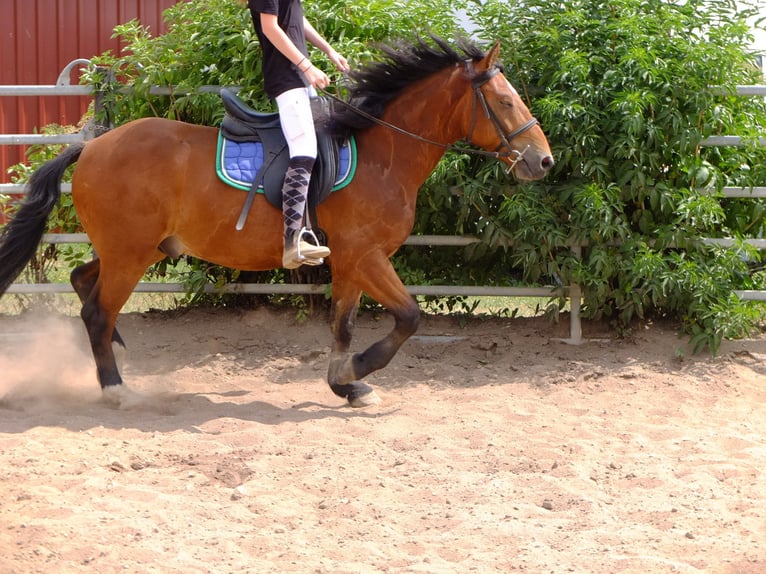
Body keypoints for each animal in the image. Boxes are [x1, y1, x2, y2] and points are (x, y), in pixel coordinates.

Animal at [0, 36, 556, 408]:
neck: (383, 154)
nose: (544, 162)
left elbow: (343, 323)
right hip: (130, 254)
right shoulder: (366, 255)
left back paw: (113, 353)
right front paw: (359, 370)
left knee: (82, 282)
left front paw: (346, 384)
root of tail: (93, 145)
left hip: (140, 248)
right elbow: (409, 317)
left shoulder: (350, 262)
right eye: (504, 101)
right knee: (97, 310)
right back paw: (115, 388)